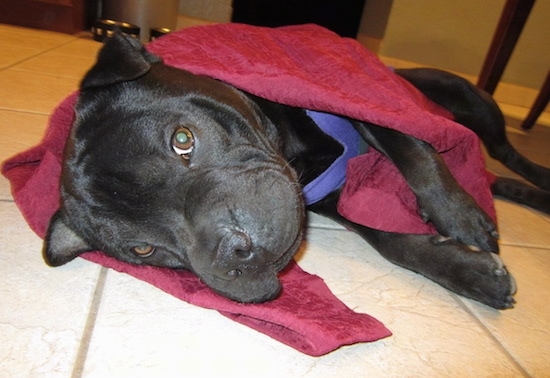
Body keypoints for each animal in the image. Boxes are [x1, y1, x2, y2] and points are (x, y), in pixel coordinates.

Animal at [44, 34, 550, 308]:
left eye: (182, 140)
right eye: (143, 249)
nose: (233, 251)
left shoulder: (358, 107)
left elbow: (412, 149)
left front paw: (459, 219)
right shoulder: (330, 199)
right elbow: (390, 240)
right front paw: (468, 272)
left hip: (470, 102)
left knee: (503, 153)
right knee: (495, 175)